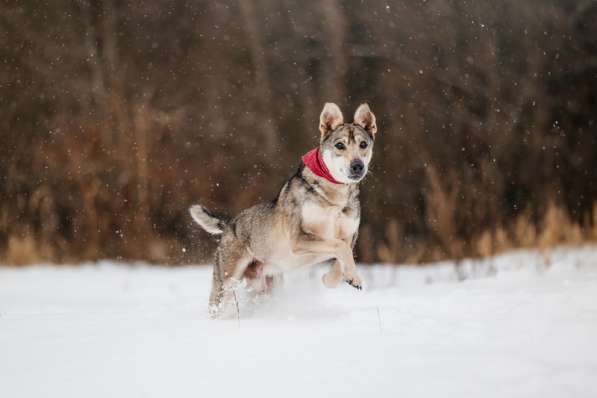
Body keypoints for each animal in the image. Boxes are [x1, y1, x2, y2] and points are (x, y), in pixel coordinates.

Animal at [190, 102, 378, 318]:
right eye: (340, 145)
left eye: (363, 144)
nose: (358, 166)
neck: (334, 199)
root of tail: (229, 225)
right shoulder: (298, 238)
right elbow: (340, 247)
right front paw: (352, 277)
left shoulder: (350, 235)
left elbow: (343, 254)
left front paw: (337, 279)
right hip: (227, 283)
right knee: (217, 305)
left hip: (268, 286)